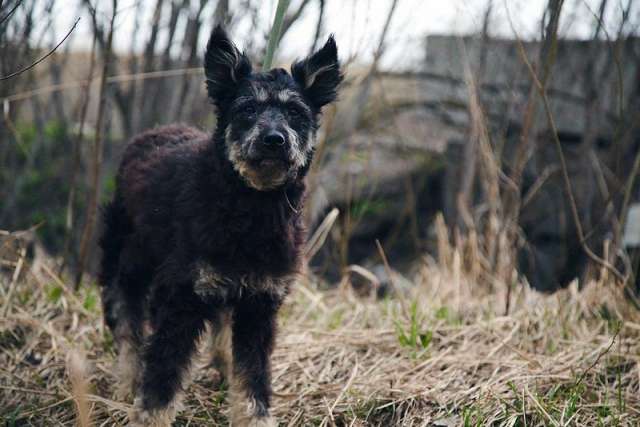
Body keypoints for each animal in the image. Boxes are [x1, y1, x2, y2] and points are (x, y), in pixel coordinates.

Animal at [98, 25, 342, 426]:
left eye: (295, 112)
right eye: (247, 109)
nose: (274, 140)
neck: (251, 208)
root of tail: (151, 134)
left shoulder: (260, 303)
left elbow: (253, 377)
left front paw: (254, 417)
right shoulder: (184, 298)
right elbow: (163, 375)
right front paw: (149, 415)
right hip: (127, 263)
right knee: (128, 326)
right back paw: (126, 381)